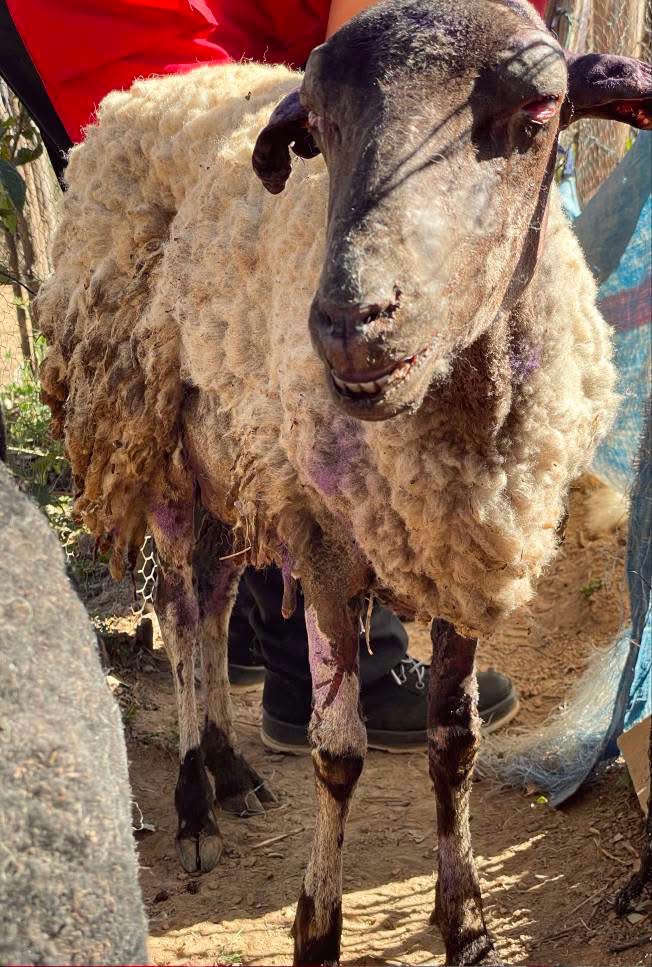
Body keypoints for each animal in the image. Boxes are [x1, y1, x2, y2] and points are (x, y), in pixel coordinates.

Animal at [36, 0, 652, 961]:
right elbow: (338, 751)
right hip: (155, 434)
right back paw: (194, 805)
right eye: (318, 129)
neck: (456, 415)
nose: (349, 321)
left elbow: (454, 740)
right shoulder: (326, 541)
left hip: (230, 458)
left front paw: (466, 918)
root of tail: (140, 97)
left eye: (538, 113)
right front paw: (317, 925)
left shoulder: (459, 546)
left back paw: (231, 768)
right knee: (180, 612)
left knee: (217, 601)